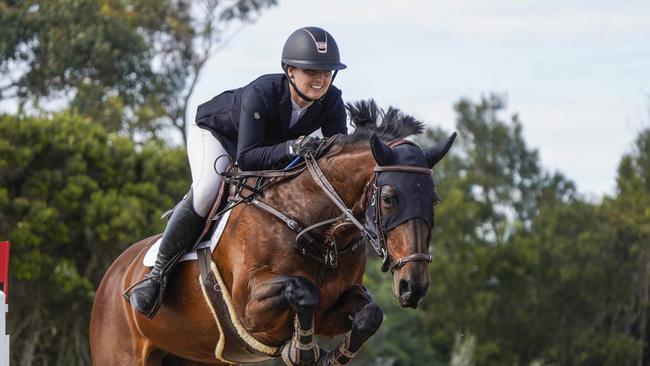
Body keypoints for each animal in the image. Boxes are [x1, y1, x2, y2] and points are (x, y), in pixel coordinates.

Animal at [90, 100, 456, 366]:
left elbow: (370, 315)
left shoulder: (334, 310)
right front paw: (303, 350)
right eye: (390, 198)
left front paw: (327, 356)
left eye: (434, 199)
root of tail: (112, 275)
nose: (413, 286)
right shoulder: (248, 308)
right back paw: (146, 292)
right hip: (121, 354)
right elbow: (303, 289)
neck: (314, 228)